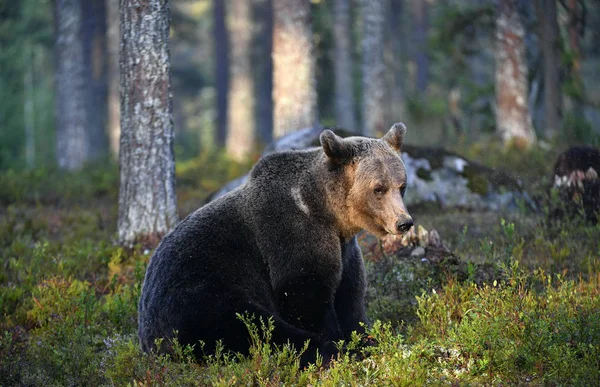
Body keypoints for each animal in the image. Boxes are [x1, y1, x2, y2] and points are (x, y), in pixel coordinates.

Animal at [138, 123, 414, 366]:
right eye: (378, 188)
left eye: (402, 185)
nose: (404, 222)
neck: (329, 213)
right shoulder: (293, 234)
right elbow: (306, 294)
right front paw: (340, 344)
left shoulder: (345, 249)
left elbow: (350, 298)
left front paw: (368, 338)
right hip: (199, 294)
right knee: (250, 327)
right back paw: (321, 350)